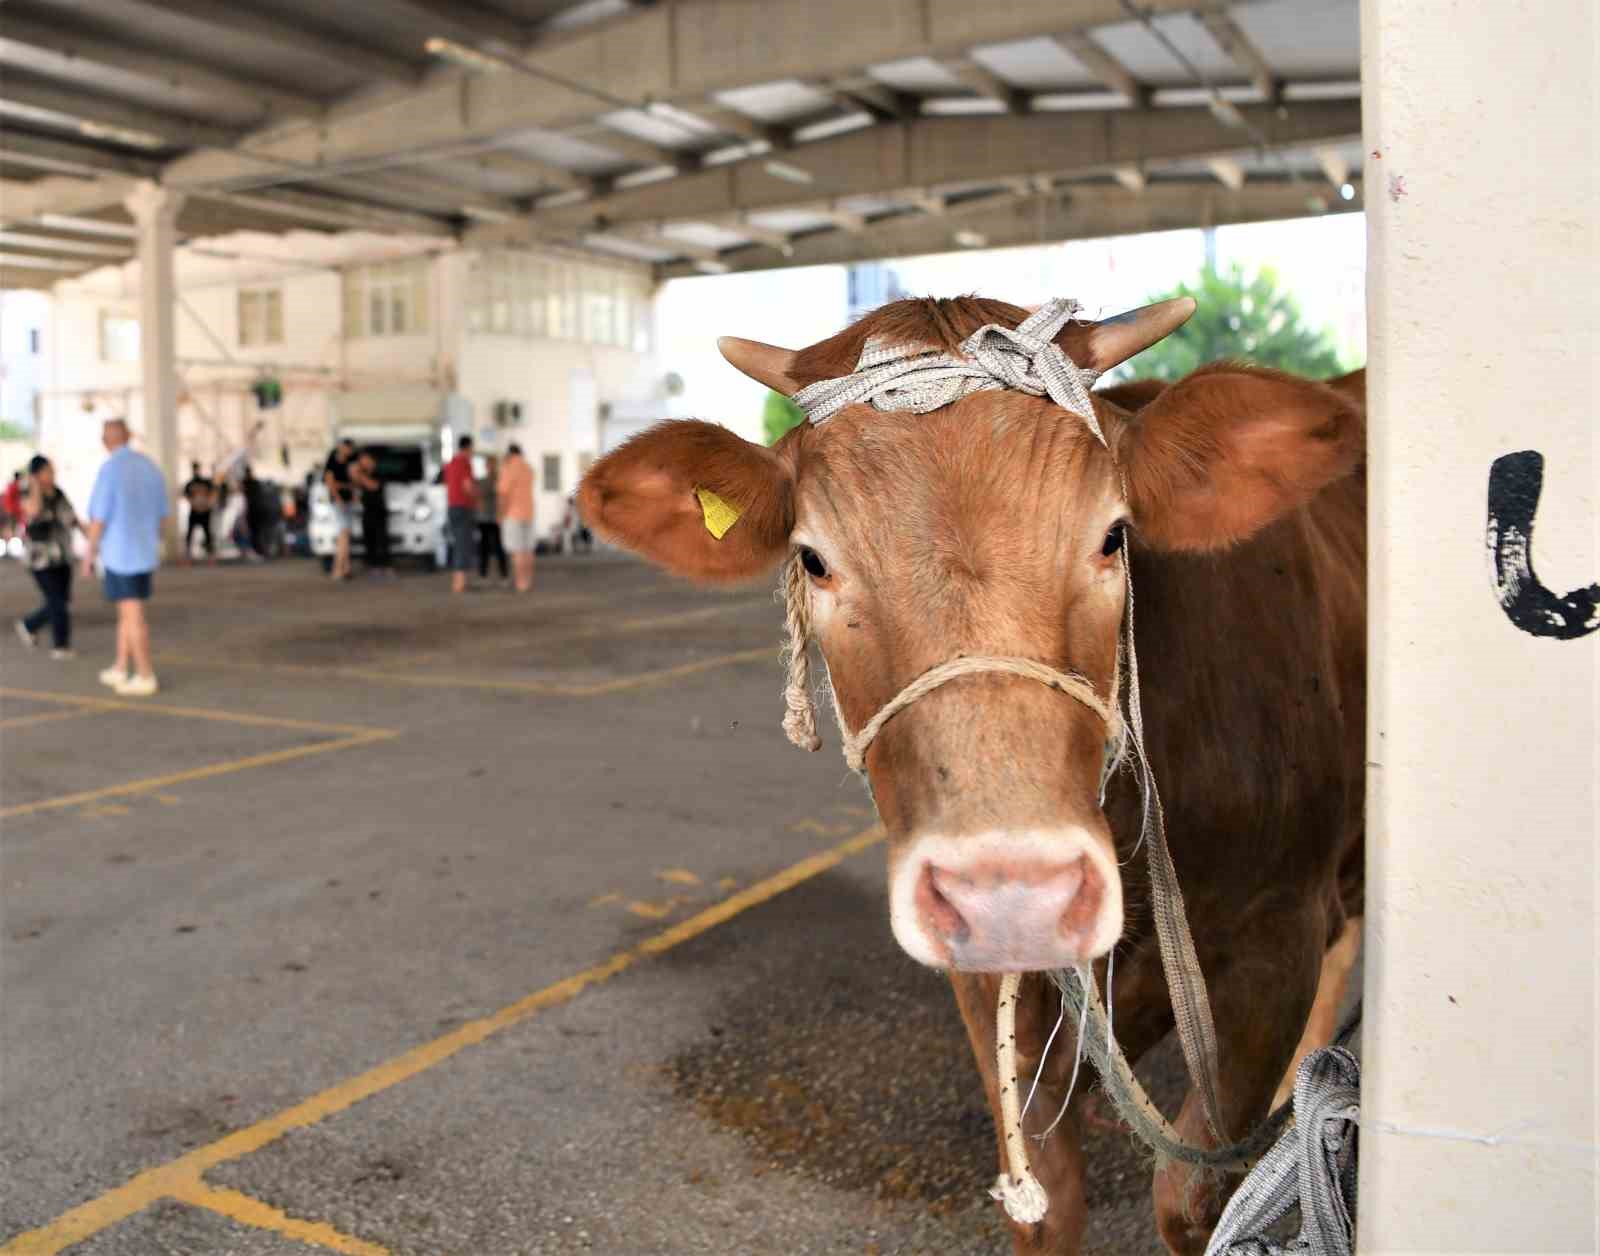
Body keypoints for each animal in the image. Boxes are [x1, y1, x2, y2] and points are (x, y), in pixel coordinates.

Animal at [579, 299, 1363, 1248]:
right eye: (813, 559)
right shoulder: (986, 979)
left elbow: (1193, 1197)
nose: (1011, 893)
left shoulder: (1276, 935)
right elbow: (1047, 1195)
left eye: (1114, 536)